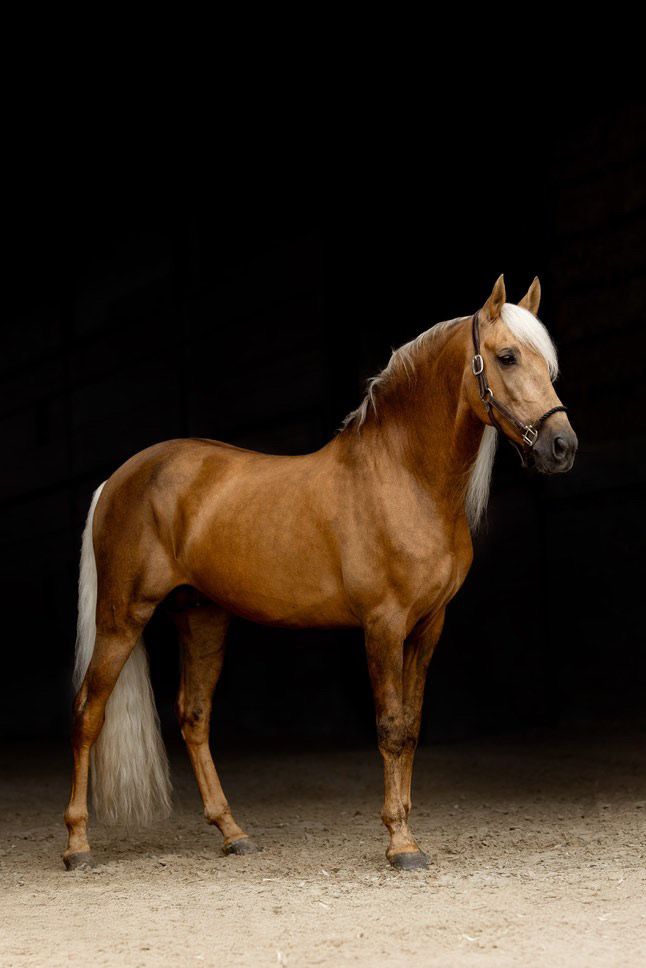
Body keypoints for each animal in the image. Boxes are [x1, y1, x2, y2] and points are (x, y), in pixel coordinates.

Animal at [63, 274, 577, 872]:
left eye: (549, 364)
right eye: (508, 356)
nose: (562, 447)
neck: (404, 477)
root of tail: (119, 478)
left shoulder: (428, 627)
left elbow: (412, 727)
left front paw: (405, 827)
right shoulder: (383, 625)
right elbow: (390, 728)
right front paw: (400, 843)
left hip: (202, 616)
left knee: (193, 717)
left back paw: (233, 833)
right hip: (123, 616)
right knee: (88, 713)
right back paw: (78, 846)